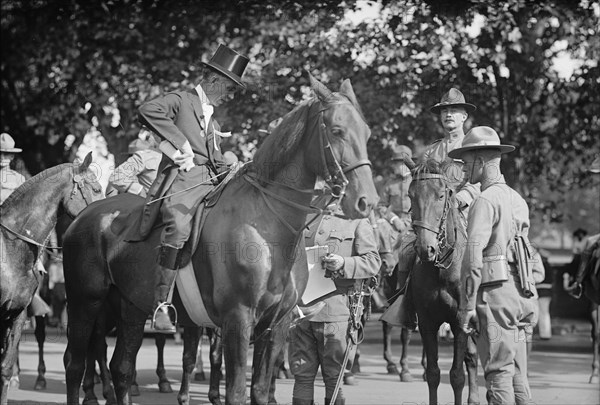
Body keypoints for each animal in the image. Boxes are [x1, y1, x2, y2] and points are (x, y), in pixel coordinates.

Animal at [62, 74, 376, 402]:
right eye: (337, 131)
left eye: (366, 132)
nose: (365, 201)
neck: (267, 230)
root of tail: (85, 214)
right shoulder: (237, 321)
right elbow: (235, 391)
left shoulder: (276, 325)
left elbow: (260, 390)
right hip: (86, 303)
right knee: (75, 363)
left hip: (130, 307)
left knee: (121, 368)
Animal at [406, 160, 480, 404]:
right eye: (411, 195)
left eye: (441, 195)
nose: (425, 248)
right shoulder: (427, 322)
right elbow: (433, 373)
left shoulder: (459, 323)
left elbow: (457, 376)